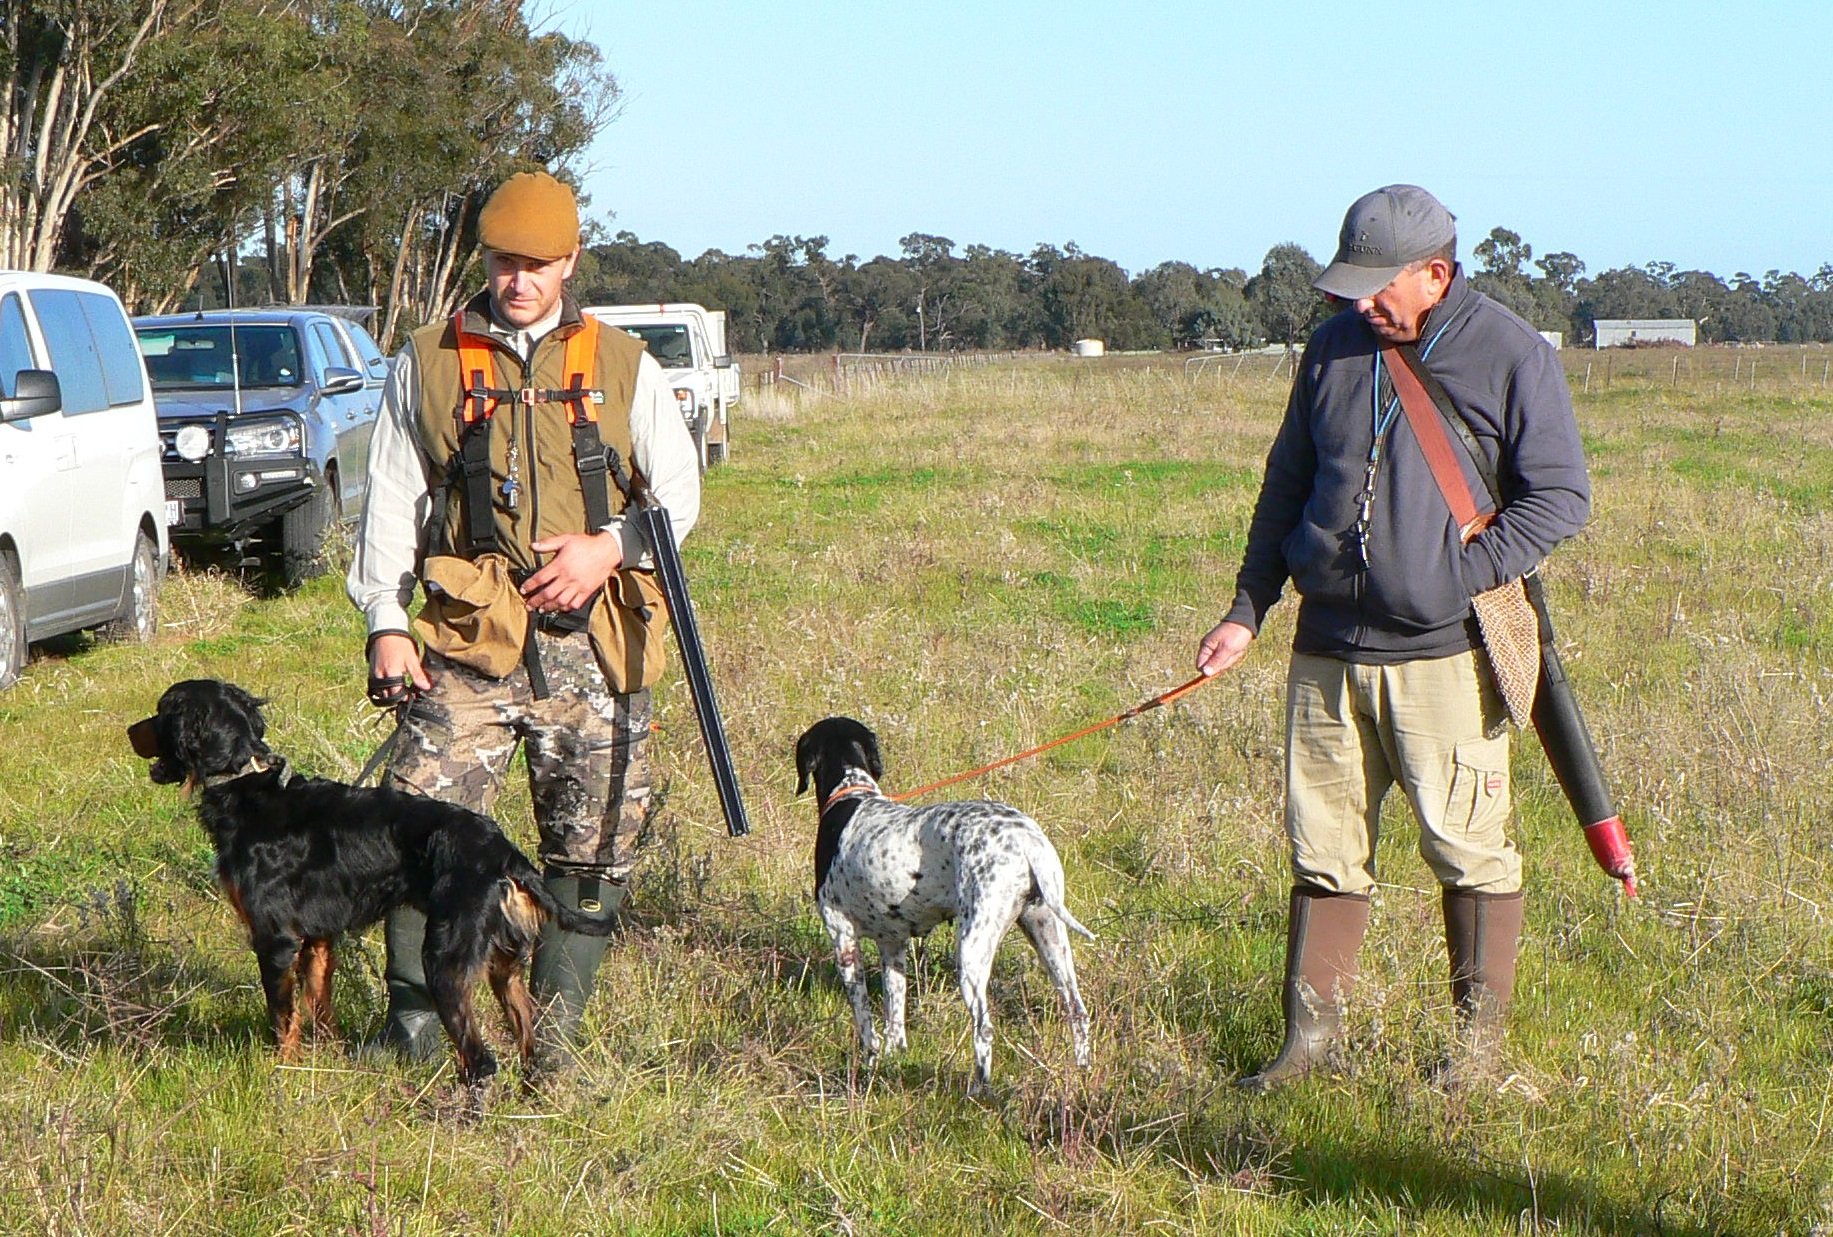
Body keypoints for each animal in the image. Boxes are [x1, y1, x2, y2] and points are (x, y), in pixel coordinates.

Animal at [127, 678, 614, 1094]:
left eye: (161, 712)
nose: (130, 730)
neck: (247, 783)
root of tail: (502, 851)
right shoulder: (318, 939)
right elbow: (320, 1009)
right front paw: (330, 1062)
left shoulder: (275, 939)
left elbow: (282, 1018)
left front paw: (282, 1073)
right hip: (503, 966)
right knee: (531, 1044)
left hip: (447, 963)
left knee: (480, 1061)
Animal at [794, 716, 1093, 1091]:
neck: (851, 791)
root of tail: (1026, 839)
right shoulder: (892, 945)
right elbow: (895, 1015)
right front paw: (894, 1058)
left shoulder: (842, 937)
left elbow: (865, 1022)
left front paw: (870, 1062)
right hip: (1047, 934)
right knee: (1076, 1009)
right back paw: (1082, 1070)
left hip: (971, 951)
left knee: (984, 1028)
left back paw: (978, 1091)